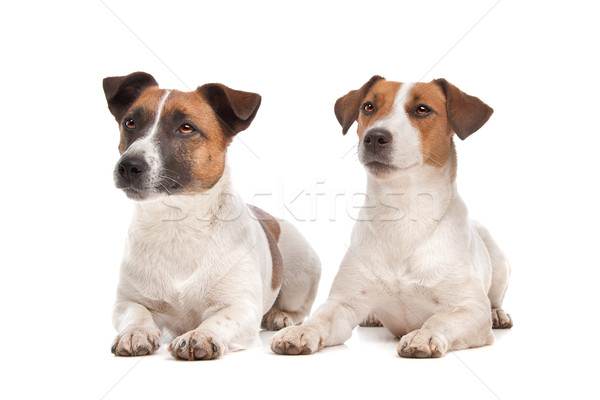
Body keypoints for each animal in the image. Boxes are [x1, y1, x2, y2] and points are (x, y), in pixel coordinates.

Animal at [103, 71, 322, 360]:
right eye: (130, 123)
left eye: (186, 128)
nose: (128, 166)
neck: (177, 223)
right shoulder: (128, 301)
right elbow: (135, 314)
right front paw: (135, 332)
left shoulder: (241, 307)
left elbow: (219, 319)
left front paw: (201, 335)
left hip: (302, 274)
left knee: (299, 309)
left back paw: (281, 315)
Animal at [272, 76, 510, 358]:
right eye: (368, 107)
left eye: (422, 109)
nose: (374, 137)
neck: (403, 213)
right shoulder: (344, 303)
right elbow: (321, 318)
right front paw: (300, 331)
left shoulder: (470, 309)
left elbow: (440, 318)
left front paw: (424, 334)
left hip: (498, 261)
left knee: (493, 299)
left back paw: (498, 313)